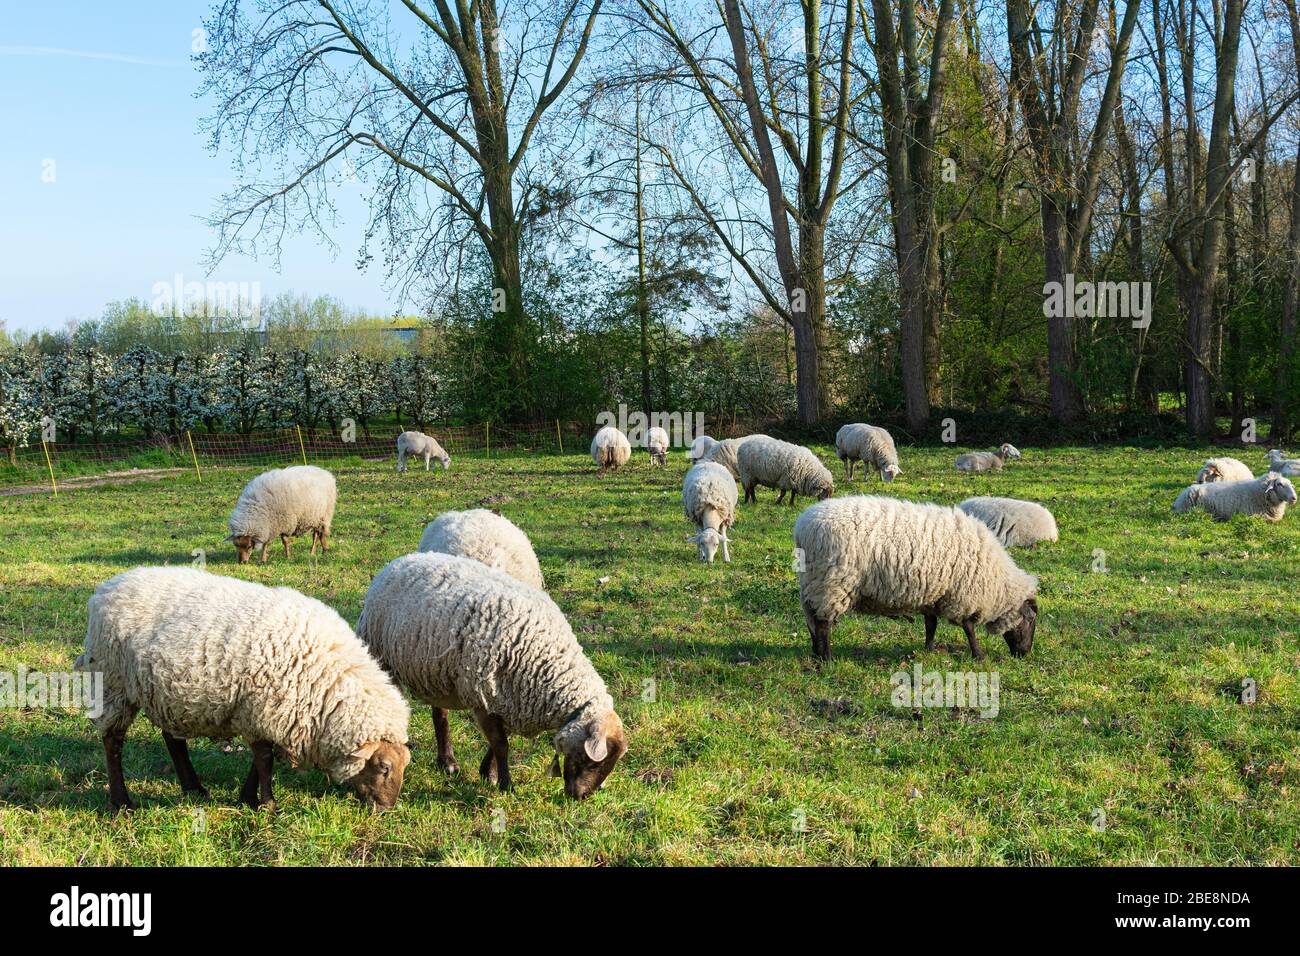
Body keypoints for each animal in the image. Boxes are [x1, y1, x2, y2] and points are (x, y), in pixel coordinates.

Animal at [76, 566, 410, 813]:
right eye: (383, 767)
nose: (387, 809)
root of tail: (105, 588)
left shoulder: (266, 713)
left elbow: (261, 758)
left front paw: (248, 798)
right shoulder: (260, 707)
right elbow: (264, 759)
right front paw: (268, 804)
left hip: (170, 690)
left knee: (172, 739)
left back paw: (193, 788)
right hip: (113, 682)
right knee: (113, 742)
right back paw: (121, 802)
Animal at [355, 552, 627, 799]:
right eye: (591, 762)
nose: (581, 797)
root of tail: (401, 559)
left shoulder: (510, 701)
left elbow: (498, 741)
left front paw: (488, 772)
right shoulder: (483, 697)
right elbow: (501, 744)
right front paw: (505, 784)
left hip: (435, 674)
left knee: (439, 713)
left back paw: (447, 761)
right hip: (384, 659)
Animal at [794, 495, 1039, 661]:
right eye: (1030, 621)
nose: (1025, 654)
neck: (997, 583)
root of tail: (802, 527)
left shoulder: (934, 593)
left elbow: (931, 624)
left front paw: (929, 649)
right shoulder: (962, 596)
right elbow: (968, 628)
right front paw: (978, 655)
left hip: (812, 582)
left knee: (811, 620)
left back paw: (816, 653)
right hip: (831, 583)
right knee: (823, 623)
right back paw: (827, 658)